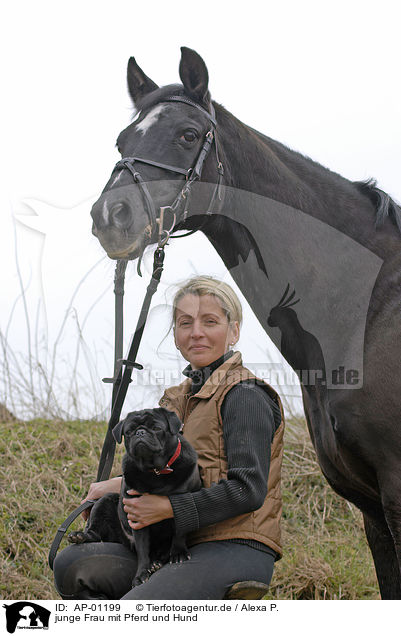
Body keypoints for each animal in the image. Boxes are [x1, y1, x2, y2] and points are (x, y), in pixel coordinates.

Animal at [90, 47, 400, 600]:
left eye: (189, 134)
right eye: (123, 140)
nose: (111, 216)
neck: (369, 309)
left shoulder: (397, 493)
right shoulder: (372, 509)